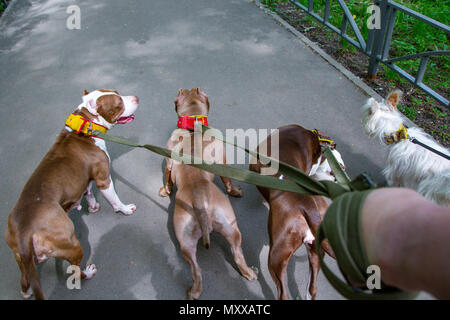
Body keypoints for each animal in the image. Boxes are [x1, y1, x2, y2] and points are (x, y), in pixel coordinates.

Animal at [3, 89, 139, 298]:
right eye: (118, 103)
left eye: (118, 92)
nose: (136, 98)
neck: (85, 126)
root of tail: (25, 230)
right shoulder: (103, 179)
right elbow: (114, 199)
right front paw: (124, 209)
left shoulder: (86, 180)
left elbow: (88, 191)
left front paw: (92, 206)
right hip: (72, 243)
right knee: (76, 272)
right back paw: (88, 272)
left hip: (19, 256)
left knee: (24, 280)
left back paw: (26, 291)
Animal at [158, 88, 256, 300]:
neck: (193, 124)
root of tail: (199, 201)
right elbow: (228, 181)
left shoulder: (168, 162)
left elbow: (167, 177)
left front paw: (165, 190)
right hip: (229, 231)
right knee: (232, 256)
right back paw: (247, 274)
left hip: (188, 240)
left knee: (198, 269)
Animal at [250, 124, 338, 300]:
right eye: (337, 170)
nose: (338, 181)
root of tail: (310, 208)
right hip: (316, 252)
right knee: (312, 288)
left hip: (276, 256)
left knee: (283, 292)